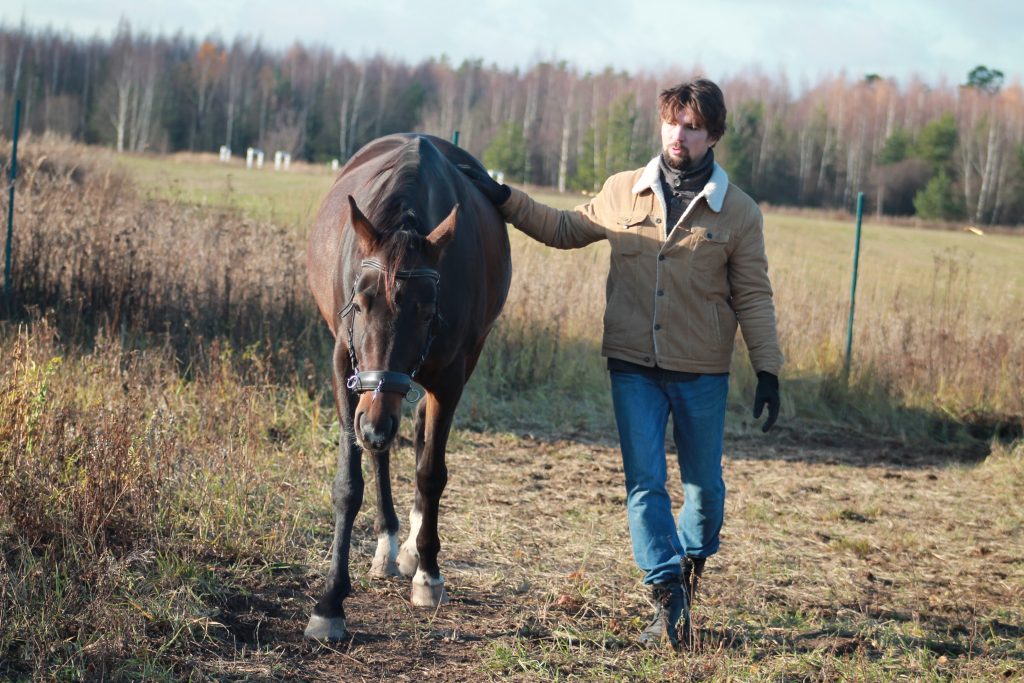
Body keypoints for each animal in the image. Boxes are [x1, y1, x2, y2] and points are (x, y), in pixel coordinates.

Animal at [303, 132, 512, 643]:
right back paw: (389, 542)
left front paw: (429, 575)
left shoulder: (452, 374)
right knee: (380, 452)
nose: (374, 421)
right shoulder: (345, 367)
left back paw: (415, 549)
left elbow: (430, 472)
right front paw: (330, 602)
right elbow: (349, 484)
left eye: (426, 310)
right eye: (359, 303)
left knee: (414, 435)